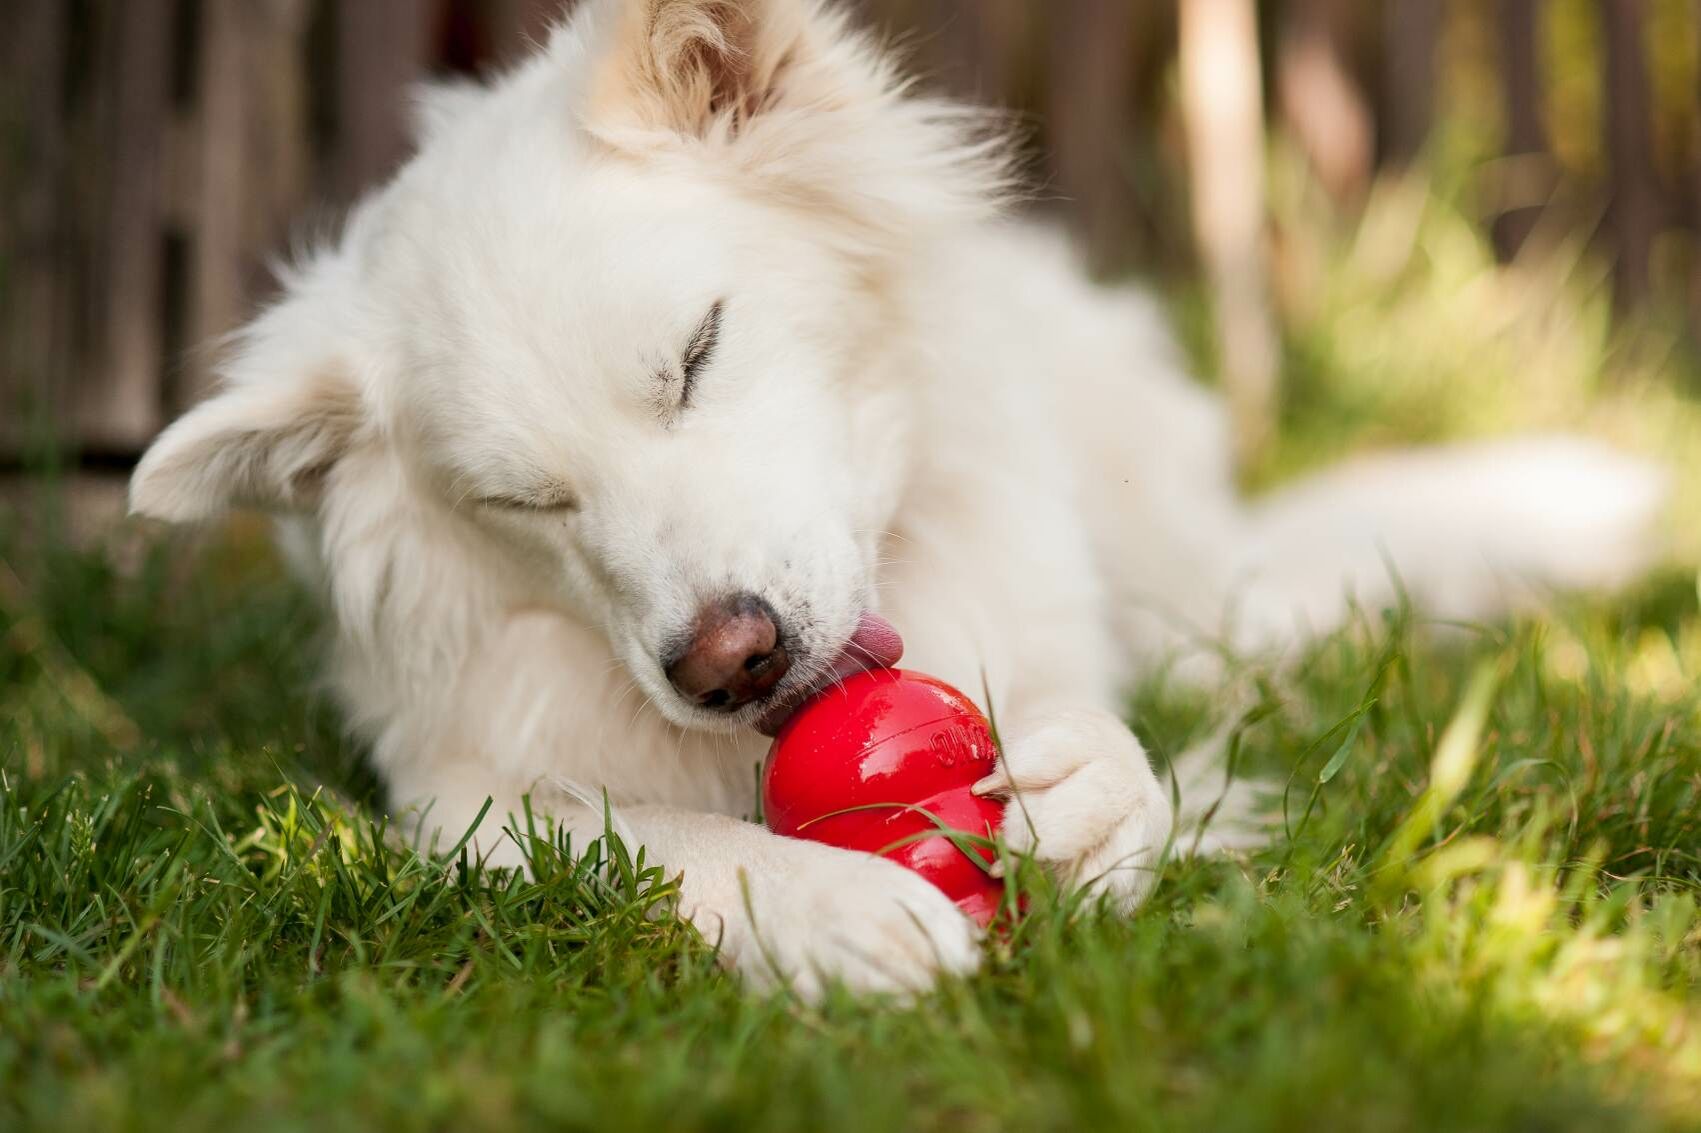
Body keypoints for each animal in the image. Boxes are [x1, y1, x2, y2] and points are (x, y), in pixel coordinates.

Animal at [125, 0, 1666, 993]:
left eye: (697, 352)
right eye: (527, 502)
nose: (727, 662)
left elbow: (1124, 757)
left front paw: (1092, 806)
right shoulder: (456, 803)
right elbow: (644, 838)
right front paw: (826, 908)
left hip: (1191, 592)